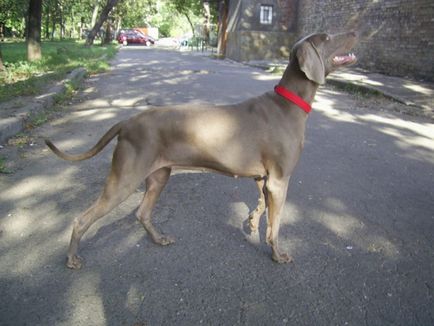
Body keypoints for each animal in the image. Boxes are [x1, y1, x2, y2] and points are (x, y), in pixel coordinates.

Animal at [45, 31, 358, 270]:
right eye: (327, 37)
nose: (355, 33)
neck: (289, 103)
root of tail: (126, 122)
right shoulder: (280, 180)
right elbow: (277, 224)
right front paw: (277, 254)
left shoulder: (264, 178)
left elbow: (262, 209)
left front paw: (253, 224)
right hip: (124, 179)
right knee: (82, 219)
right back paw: (72, 259)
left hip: (159, 175)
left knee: (142, 212)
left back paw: (158, 239)